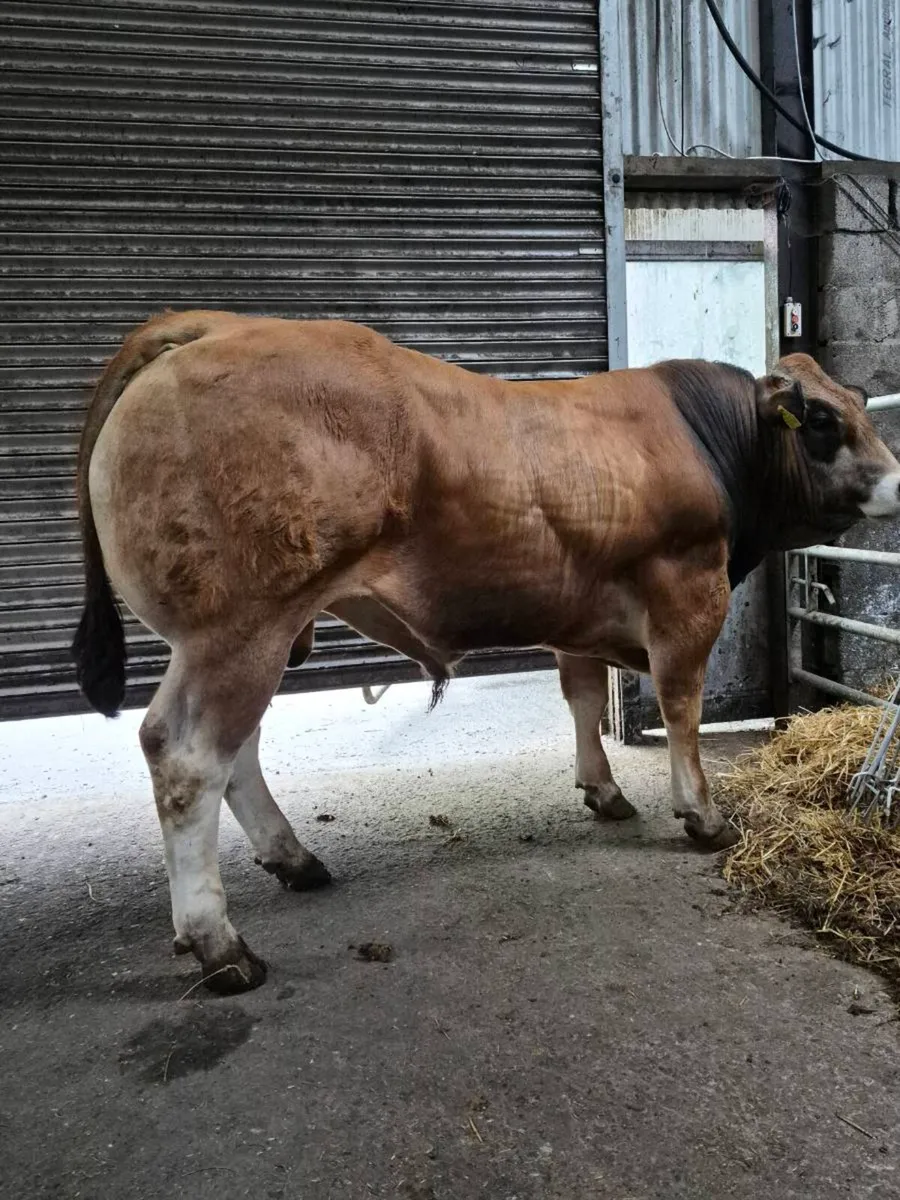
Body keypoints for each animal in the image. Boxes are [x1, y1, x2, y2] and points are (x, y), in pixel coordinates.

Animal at [72, 310, 900, 993]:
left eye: (861, 405)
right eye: (820, 419)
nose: (897, 481)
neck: (707, 439)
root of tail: (212, 325)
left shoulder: (579, 610)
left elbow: (583, 697)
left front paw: (603, 791)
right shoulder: (687, 590)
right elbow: (681, 707)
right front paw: (701, 814)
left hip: (255, 633)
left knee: (234, 752)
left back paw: (294, 861)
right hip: (240, 627)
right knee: (187, 756)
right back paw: (220, 945)